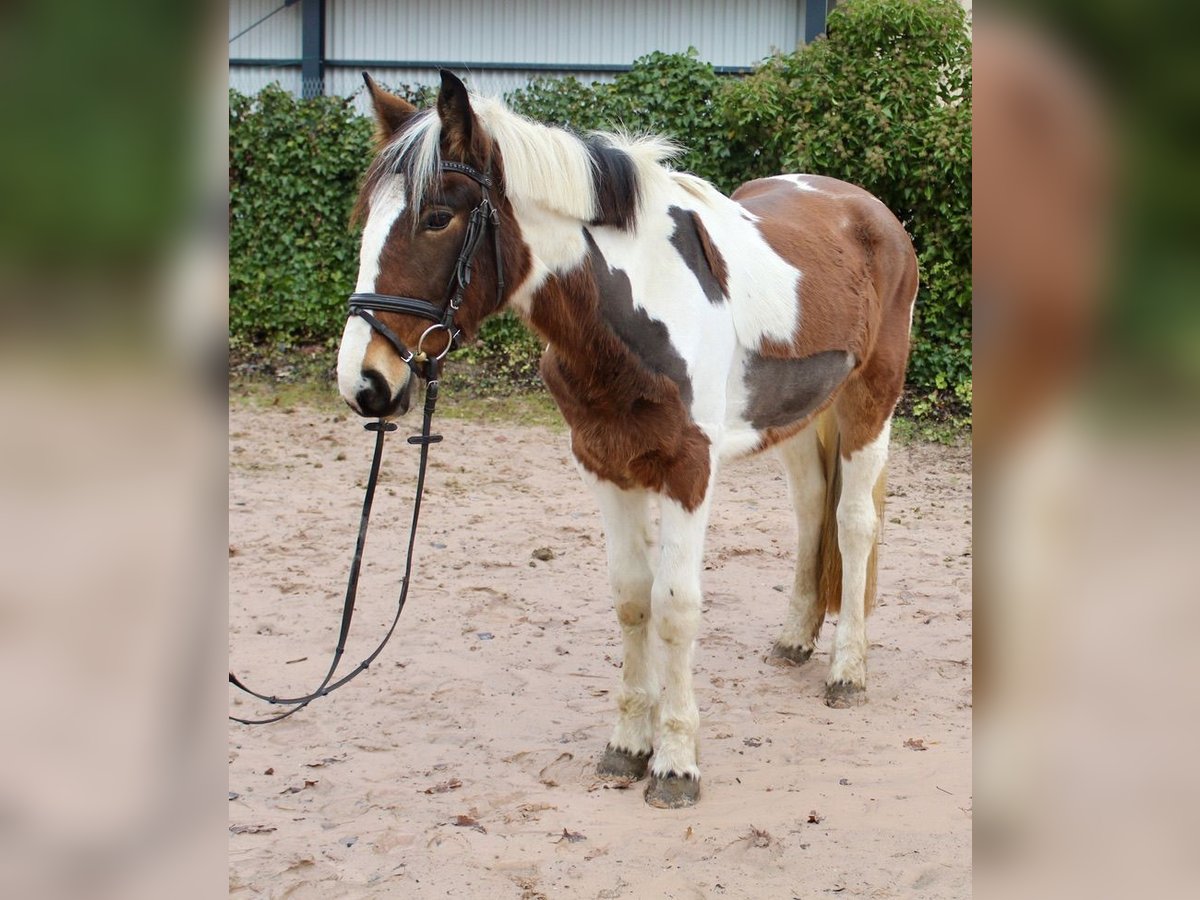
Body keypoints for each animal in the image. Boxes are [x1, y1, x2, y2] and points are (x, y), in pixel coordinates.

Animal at [338, 74, 916, 816]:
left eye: (437, 216)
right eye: (368, 217)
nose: (365, 382)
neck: (631, 307)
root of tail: (870, 210)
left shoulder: (689, 470)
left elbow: (675, 606)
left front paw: (675, 764)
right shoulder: (605, 462)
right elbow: (632, 598)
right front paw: (628, 745)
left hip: (870, 399)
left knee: (853, 524)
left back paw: (847, 671)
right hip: (796, 416)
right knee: (814, 510)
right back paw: (795, 639)